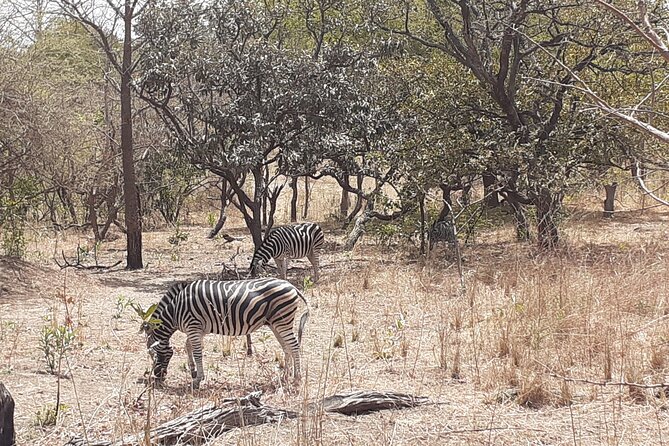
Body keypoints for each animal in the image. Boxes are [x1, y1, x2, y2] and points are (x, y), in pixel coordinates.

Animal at [142, 278, 310, 389]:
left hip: (282, 321)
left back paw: (297, 378)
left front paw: (198, 379)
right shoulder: (198, 330)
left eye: (152, 353)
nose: (158, 377)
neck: (175, 309)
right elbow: (187, 347)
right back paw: (285, 376)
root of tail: (291, 285)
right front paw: (193, 371)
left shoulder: (193, 326)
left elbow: (197, 352)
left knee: (294, 346)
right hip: (276, 324)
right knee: (286, 346)